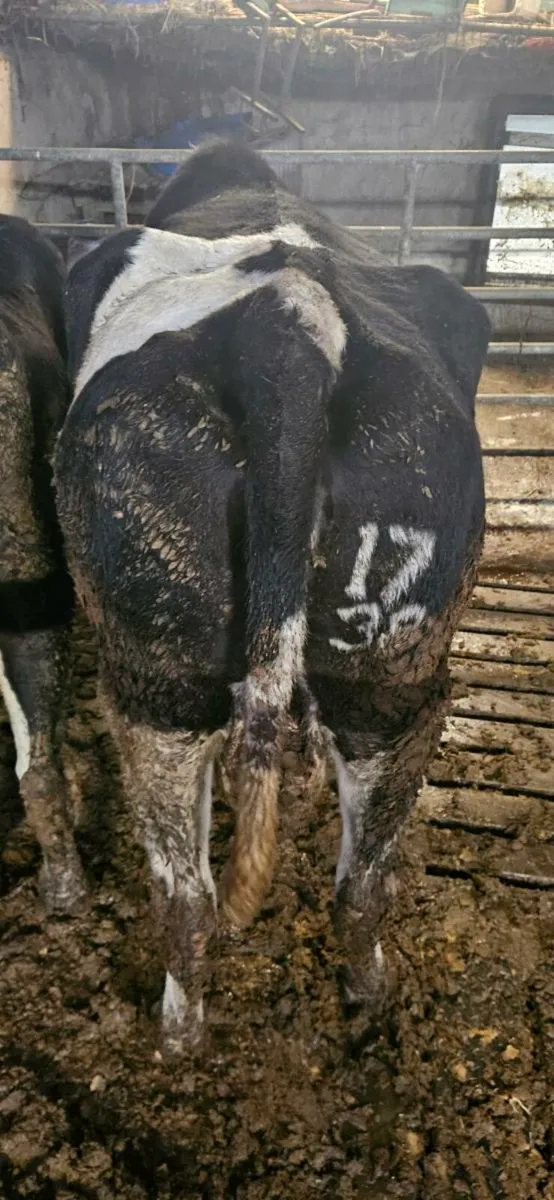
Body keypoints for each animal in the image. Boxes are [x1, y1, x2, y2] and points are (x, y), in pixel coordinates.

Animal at [54, 141, 490, 1051]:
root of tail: (288, 327)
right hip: (393, 671)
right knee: (362, 887)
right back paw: (369, 1001)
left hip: (156, 681)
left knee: (186, 896)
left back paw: (179, 1037)